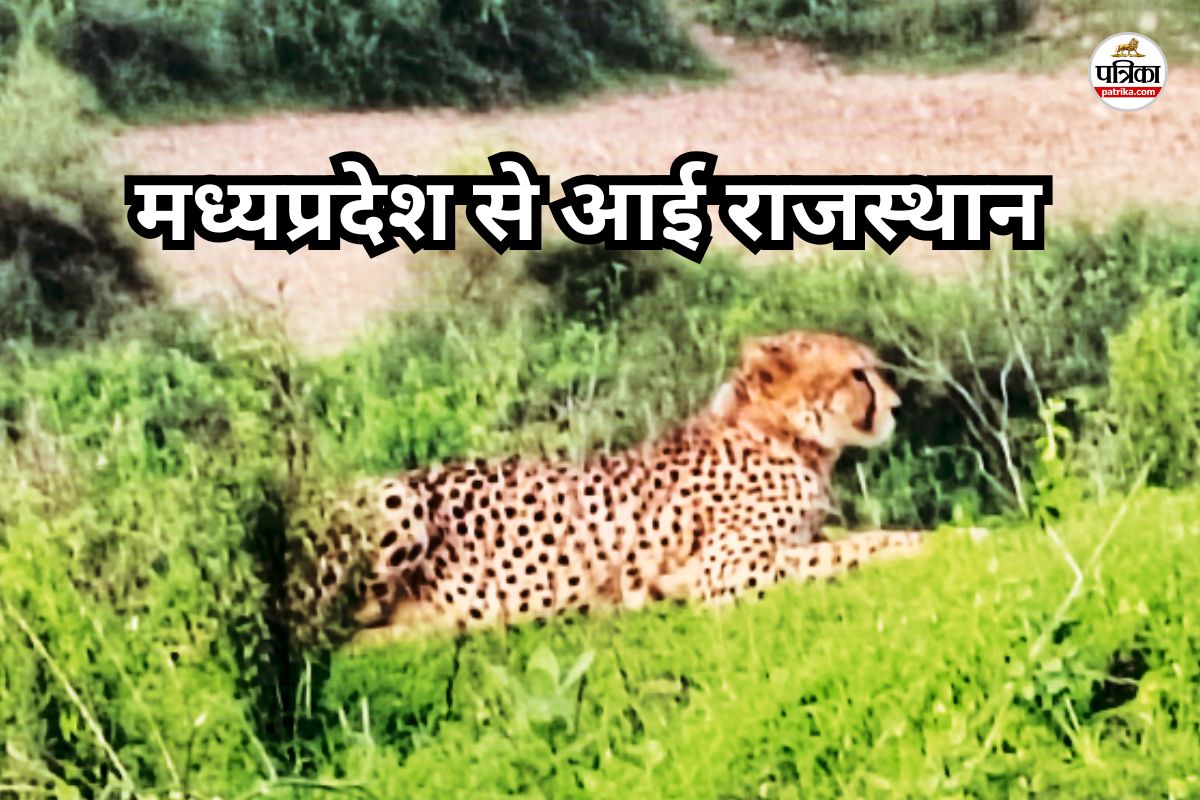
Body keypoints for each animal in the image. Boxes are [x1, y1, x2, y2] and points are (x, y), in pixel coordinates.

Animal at [283, 330, 925, 647]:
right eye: (858, 374)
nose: (897, 406)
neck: (777, 432)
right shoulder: (724, 573)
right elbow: (851, 549)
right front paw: (916, 542)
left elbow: (839, 540)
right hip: (400, 501)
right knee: (323, 641)